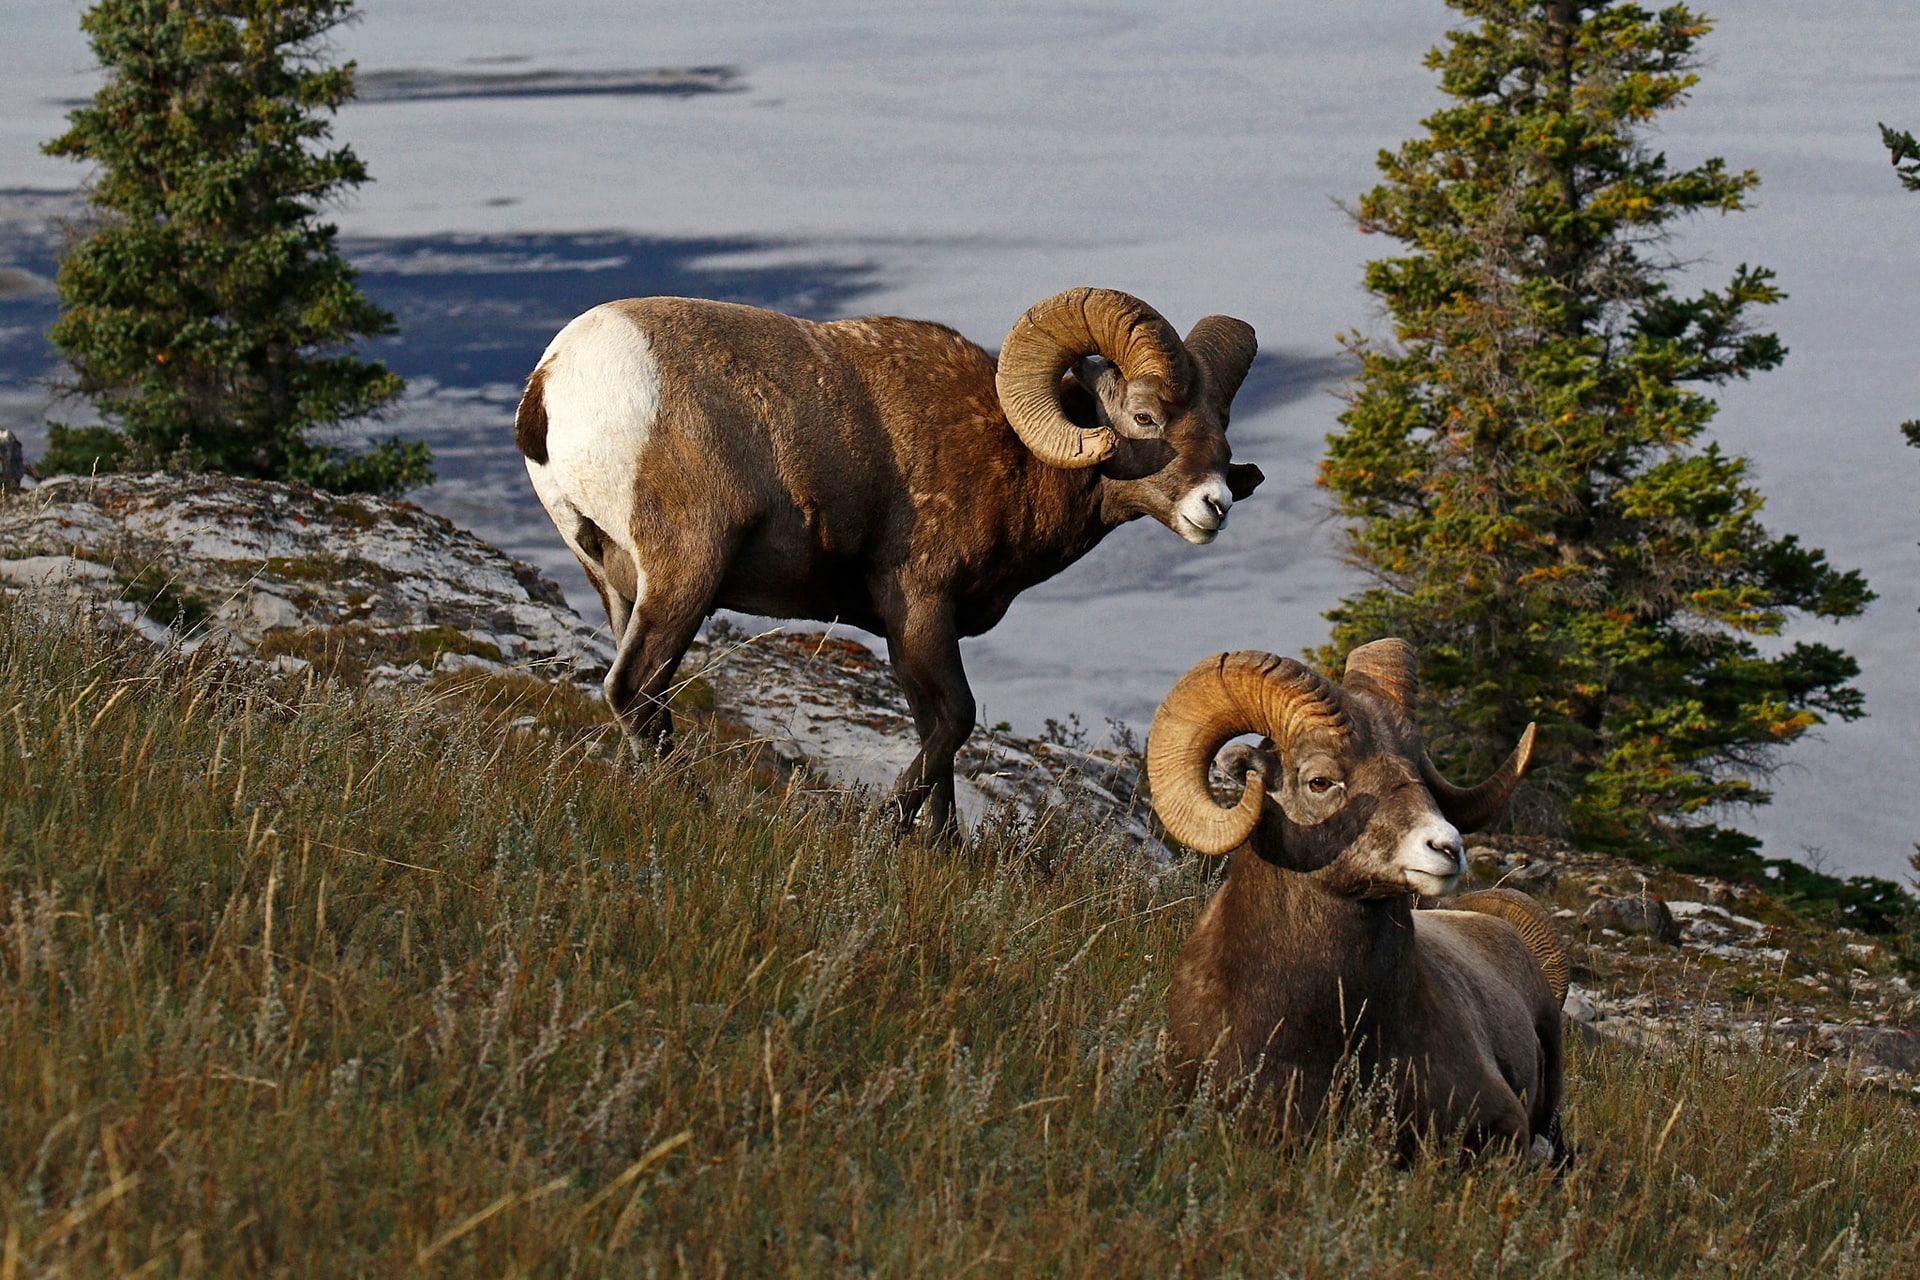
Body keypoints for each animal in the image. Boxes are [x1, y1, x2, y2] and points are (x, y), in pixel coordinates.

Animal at [514, 287, 1263, 835]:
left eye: (1221, 432)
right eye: (1144, 417)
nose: (1215, 504)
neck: (1010, 457)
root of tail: (554, 380)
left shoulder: (907, 640)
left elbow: (936, 730)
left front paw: (941, 846)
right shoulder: (923, 608)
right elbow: (956, 718)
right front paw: (891, 824)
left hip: (618, 581)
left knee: (643, 697)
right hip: (686, 574)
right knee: (633, 689)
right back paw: (693, 804)